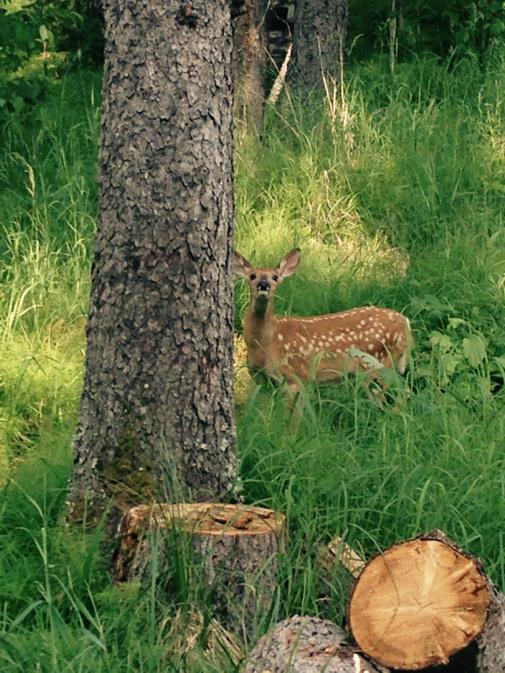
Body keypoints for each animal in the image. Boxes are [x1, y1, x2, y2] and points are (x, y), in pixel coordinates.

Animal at [233, 248, 413, 412]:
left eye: (275, 277)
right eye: (252, 276)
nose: (264, 285)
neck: (267, 342)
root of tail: (405, 323)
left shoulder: (295, 377)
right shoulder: (261, 380)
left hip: (376, 364)